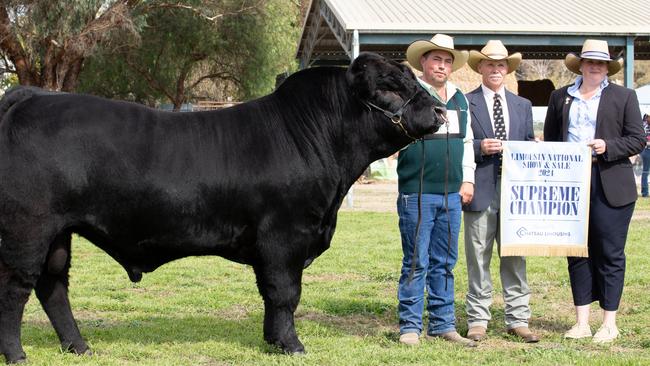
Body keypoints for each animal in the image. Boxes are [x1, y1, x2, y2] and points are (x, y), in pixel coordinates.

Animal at [0, 52, 446, 364]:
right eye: (387, 88)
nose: (440, 111)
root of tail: (33, 95)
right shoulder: (285, 236)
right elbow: (284, 292)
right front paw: (292, 344)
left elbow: (271, 295)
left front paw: (272, 341)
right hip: (29, 228)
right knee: (16, 287)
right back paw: (17, 354)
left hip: (59, 234)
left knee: (53, 286)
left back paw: (79, 347)